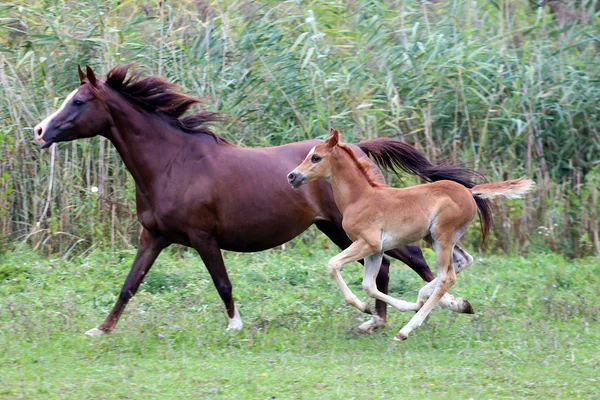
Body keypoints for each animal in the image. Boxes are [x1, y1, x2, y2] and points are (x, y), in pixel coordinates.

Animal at [288, 130, 536, 340]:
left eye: (316, 157)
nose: (292, 176)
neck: (361, 198)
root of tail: (469, 191)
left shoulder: (367, 243)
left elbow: (333, 265)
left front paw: (364, 307)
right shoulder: (375, 251)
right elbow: (369, 285)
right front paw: (393, 307)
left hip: (442, 236)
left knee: (447, 277)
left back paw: (406, 329)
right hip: (434, 238)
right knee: (463, 261)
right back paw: (441, 301)